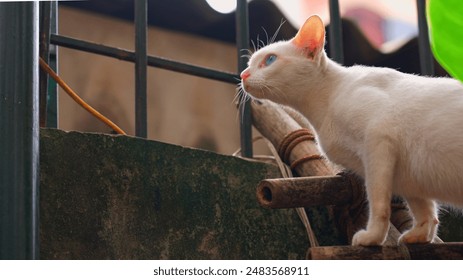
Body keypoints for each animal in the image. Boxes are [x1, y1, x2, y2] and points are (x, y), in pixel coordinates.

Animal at [241, 14, 463, 245]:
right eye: (249, 64)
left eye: (270, 60)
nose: (242, 75)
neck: (323, 106)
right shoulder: (407, 178)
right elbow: (424, 209)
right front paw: (420, 235)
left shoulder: (379, 141)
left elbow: (378, 201)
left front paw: (373, 237)